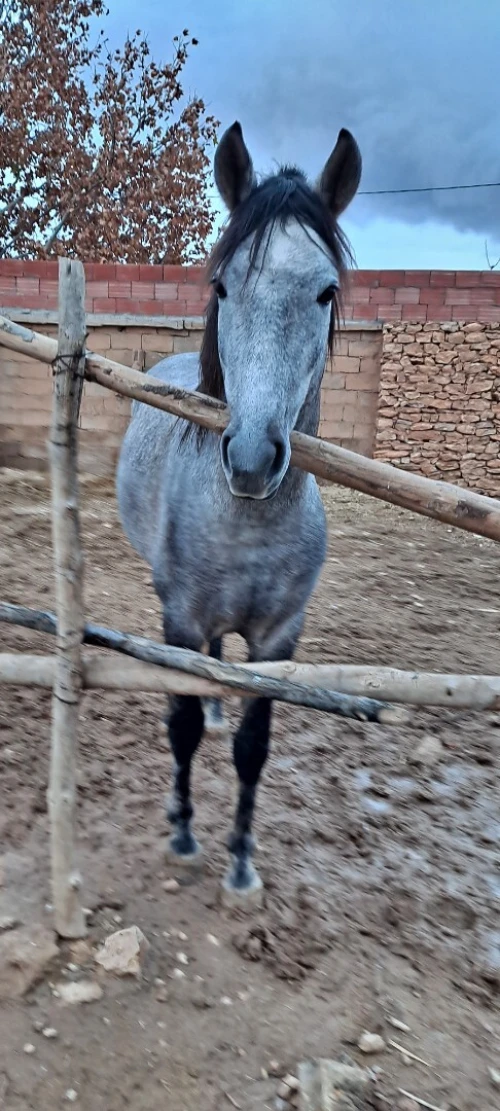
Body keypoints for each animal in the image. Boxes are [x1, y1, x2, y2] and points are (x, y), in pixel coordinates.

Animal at [116, 121, 362, 904]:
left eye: (325, 292)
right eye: (223, 285)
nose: (251, 459)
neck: (245, 526)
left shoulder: (281, 638)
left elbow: (255, 748)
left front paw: (243, 861)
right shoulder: (180, 617)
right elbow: (182, 726)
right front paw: (183, 831)